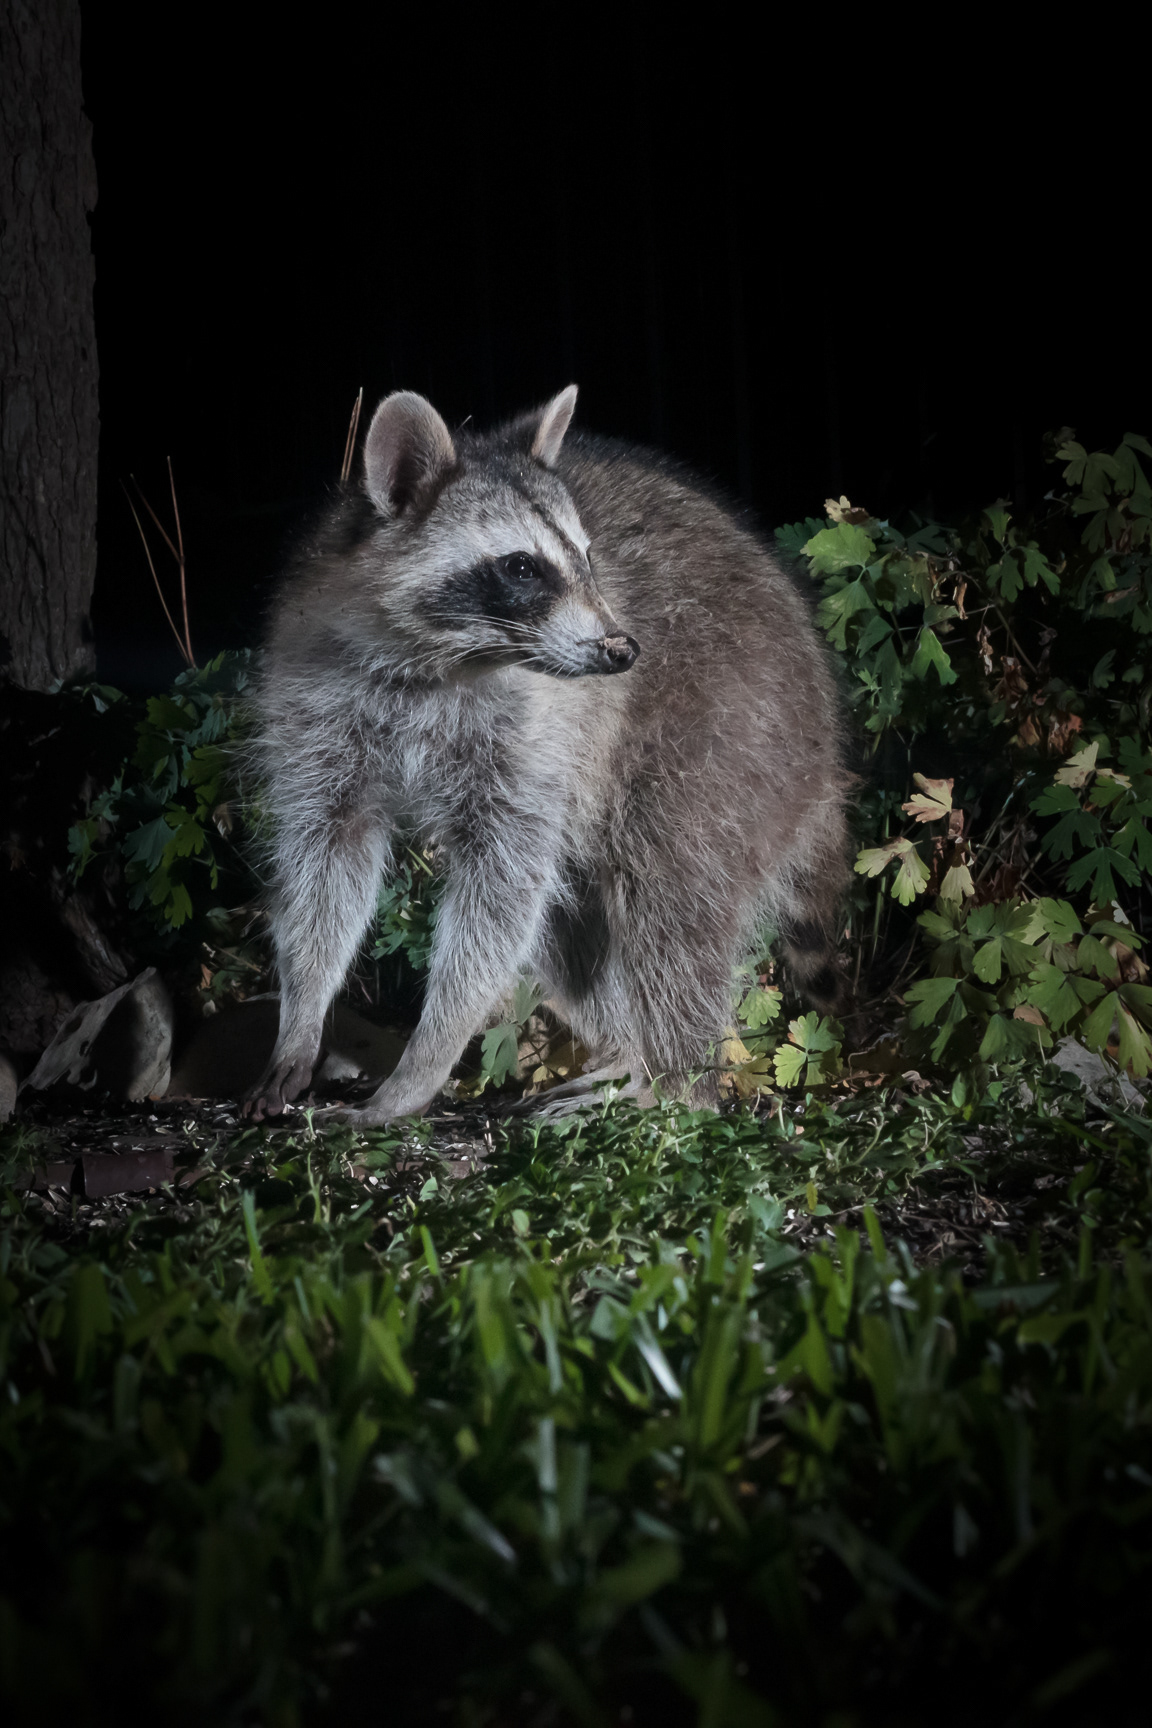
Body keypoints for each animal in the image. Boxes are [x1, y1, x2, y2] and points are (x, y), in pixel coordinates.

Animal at [243, 385, 851, 1125]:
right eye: (522, 567)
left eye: (588, 557)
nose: (625, 650)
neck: (432, 664)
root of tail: (823, 738)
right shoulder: (319, 699)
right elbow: (327, 861)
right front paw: (301, 1015)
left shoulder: (535, 729)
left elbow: (499, 895)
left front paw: (425, 1060)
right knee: (573, 931)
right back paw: (627, 1057)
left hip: (732, 724)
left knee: (670, 902)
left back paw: (677, 1088)